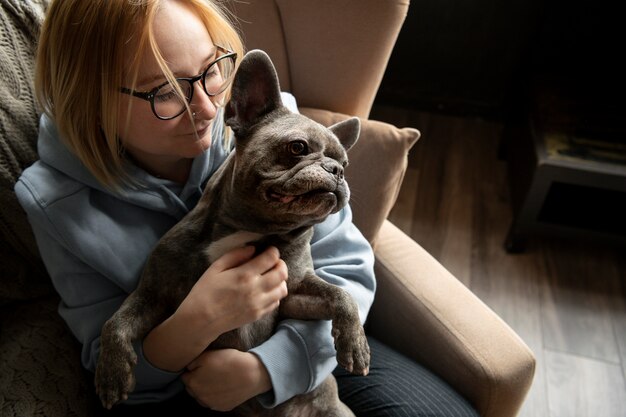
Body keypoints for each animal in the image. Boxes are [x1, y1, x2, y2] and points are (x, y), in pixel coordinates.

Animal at [95, 49, 368, 416]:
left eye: (346, 164)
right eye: (297, 147)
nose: (337, 170)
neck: (251, 230)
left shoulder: (293, 295)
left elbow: (342, 295)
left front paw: (356, 345)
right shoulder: (154, 294)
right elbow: (117, 321)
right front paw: (111, 374)